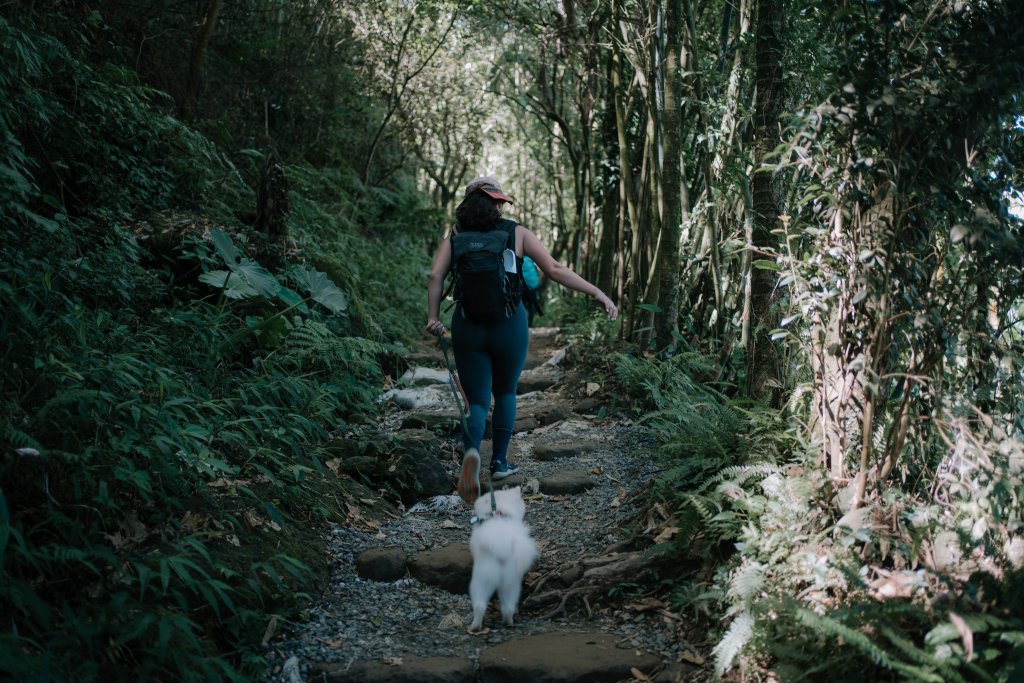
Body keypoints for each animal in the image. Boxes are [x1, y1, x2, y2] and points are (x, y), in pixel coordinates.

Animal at [468, 489, 540, 634]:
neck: (499, 512)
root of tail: (502, 547)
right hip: (511, 583)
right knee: (508, 606)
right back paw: (508, 622)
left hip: (481, 580)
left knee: (479, 605)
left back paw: (475, 627)